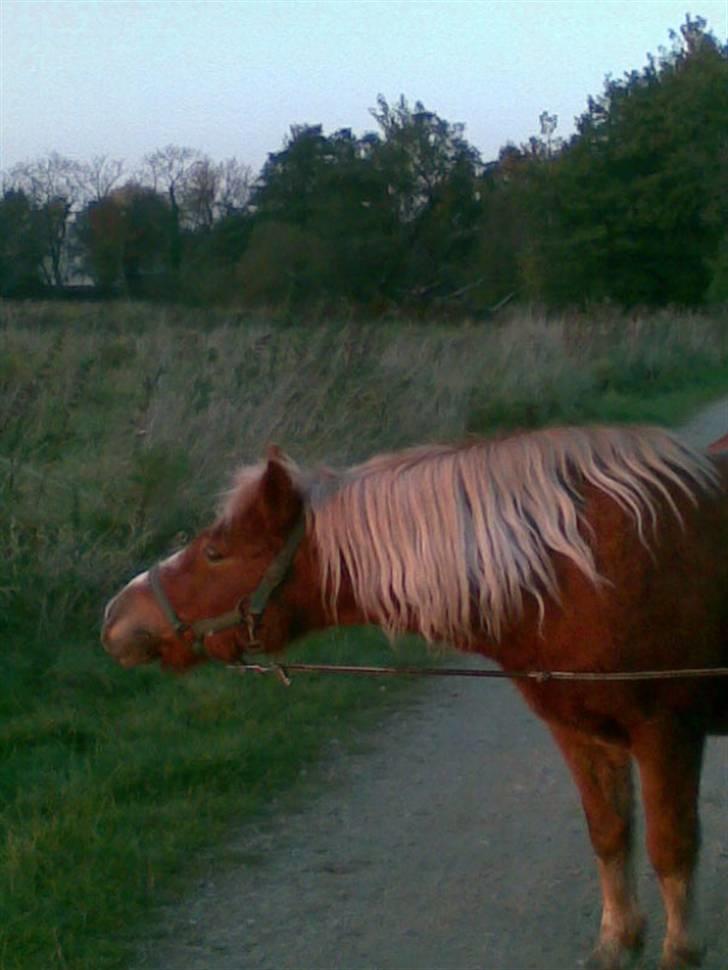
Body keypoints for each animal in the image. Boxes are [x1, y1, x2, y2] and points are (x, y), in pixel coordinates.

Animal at [102, 424, 728, 970]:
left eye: (216, 552)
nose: (115, 617)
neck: (584, 570)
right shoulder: (580, 732)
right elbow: (609, 834)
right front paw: (618, 942)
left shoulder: (666, 733)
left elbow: (671, 848)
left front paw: (680, 952)